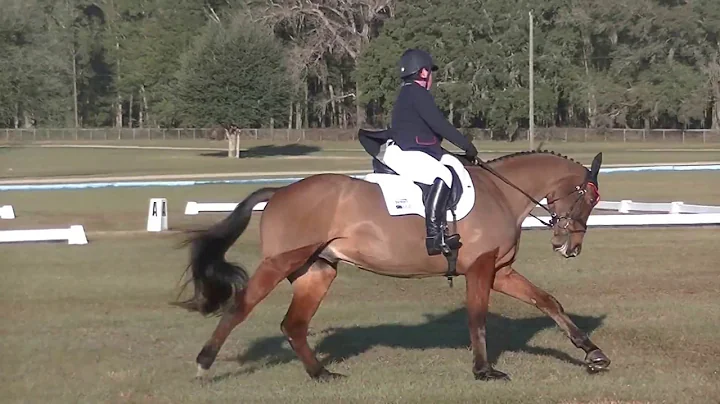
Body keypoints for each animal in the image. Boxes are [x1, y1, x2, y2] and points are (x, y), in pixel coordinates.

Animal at [174, 134, 608, 384]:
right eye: (588, 199)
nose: (570, 247)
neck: (502, 193)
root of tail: (280, 191)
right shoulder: (481, 269)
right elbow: (478, 318)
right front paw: (485, 371)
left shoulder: (500, 271)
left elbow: (548, 301)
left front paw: (593, 354)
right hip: (279, 264)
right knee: (240, 308)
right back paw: (203, 365)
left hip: (317, 271)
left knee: (293, 325)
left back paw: (322, 374)